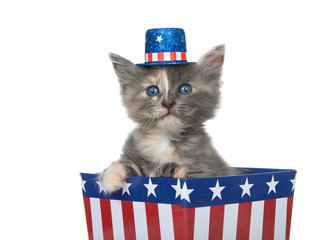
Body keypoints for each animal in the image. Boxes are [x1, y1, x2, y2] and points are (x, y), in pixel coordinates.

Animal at [98, 44, 238, 191]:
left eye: (185, 89)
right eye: (152, 91)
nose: (167, 102)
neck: (166, 138)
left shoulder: (206, 170)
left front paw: (167, 172)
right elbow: (128, 165)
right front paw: (112, 174)